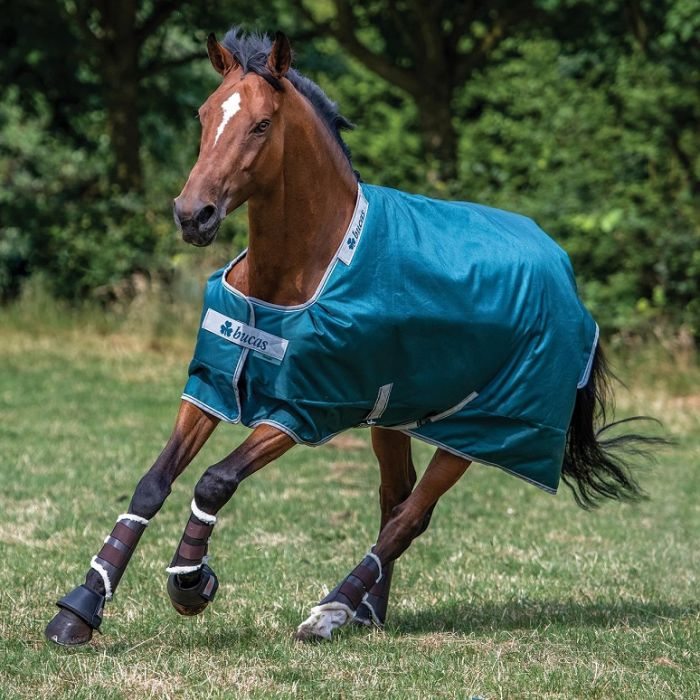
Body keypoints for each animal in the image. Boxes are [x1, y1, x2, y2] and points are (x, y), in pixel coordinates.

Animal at [45, 29, 660, 646]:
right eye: (204, 114)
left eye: (262, 124)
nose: (194, 215)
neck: (298, 271)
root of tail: (563, 267)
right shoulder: (213, 384)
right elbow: (154, 482)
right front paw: (80, 607)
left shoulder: (302, 411)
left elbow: (214, 481)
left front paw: (191, 582)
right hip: (393, 415)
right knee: (396, 499)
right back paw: (368, 610)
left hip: (482, 429)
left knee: (411, 515)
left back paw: (332, 609)